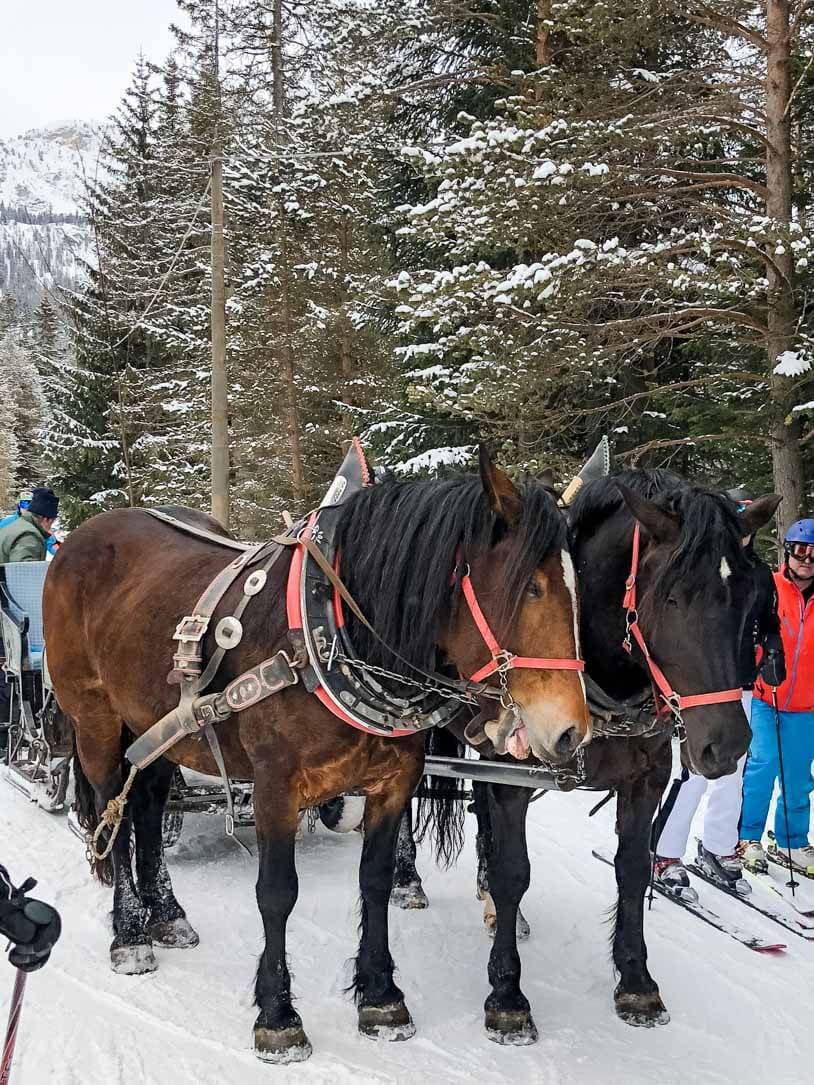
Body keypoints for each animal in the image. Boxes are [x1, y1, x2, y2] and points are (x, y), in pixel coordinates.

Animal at [44, 453, 590, 1063]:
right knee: (110, 817)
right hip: (95, 721)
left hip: (158, 726)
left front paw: (380, 995)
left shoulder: (393, 782)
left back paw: (167, 915)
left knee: (148, 802)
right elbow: (277, 894)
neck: (332, 638)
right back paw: (131, 933)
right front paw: (277, 1014)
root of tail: (82, 535)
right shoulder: (275, 788)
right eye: (532, 587)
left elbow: (375, 881)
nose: (571, 731)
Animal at [395, 470, 785, 1037]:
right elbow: (516, 872)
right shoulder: (513, 775)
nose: (728, 744)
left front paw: (637, 981)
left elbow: (632, 871)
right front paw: (506, 992)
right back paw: (407, 880)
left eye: (753, 602)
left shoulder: (645, 780)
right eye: (673, 596)